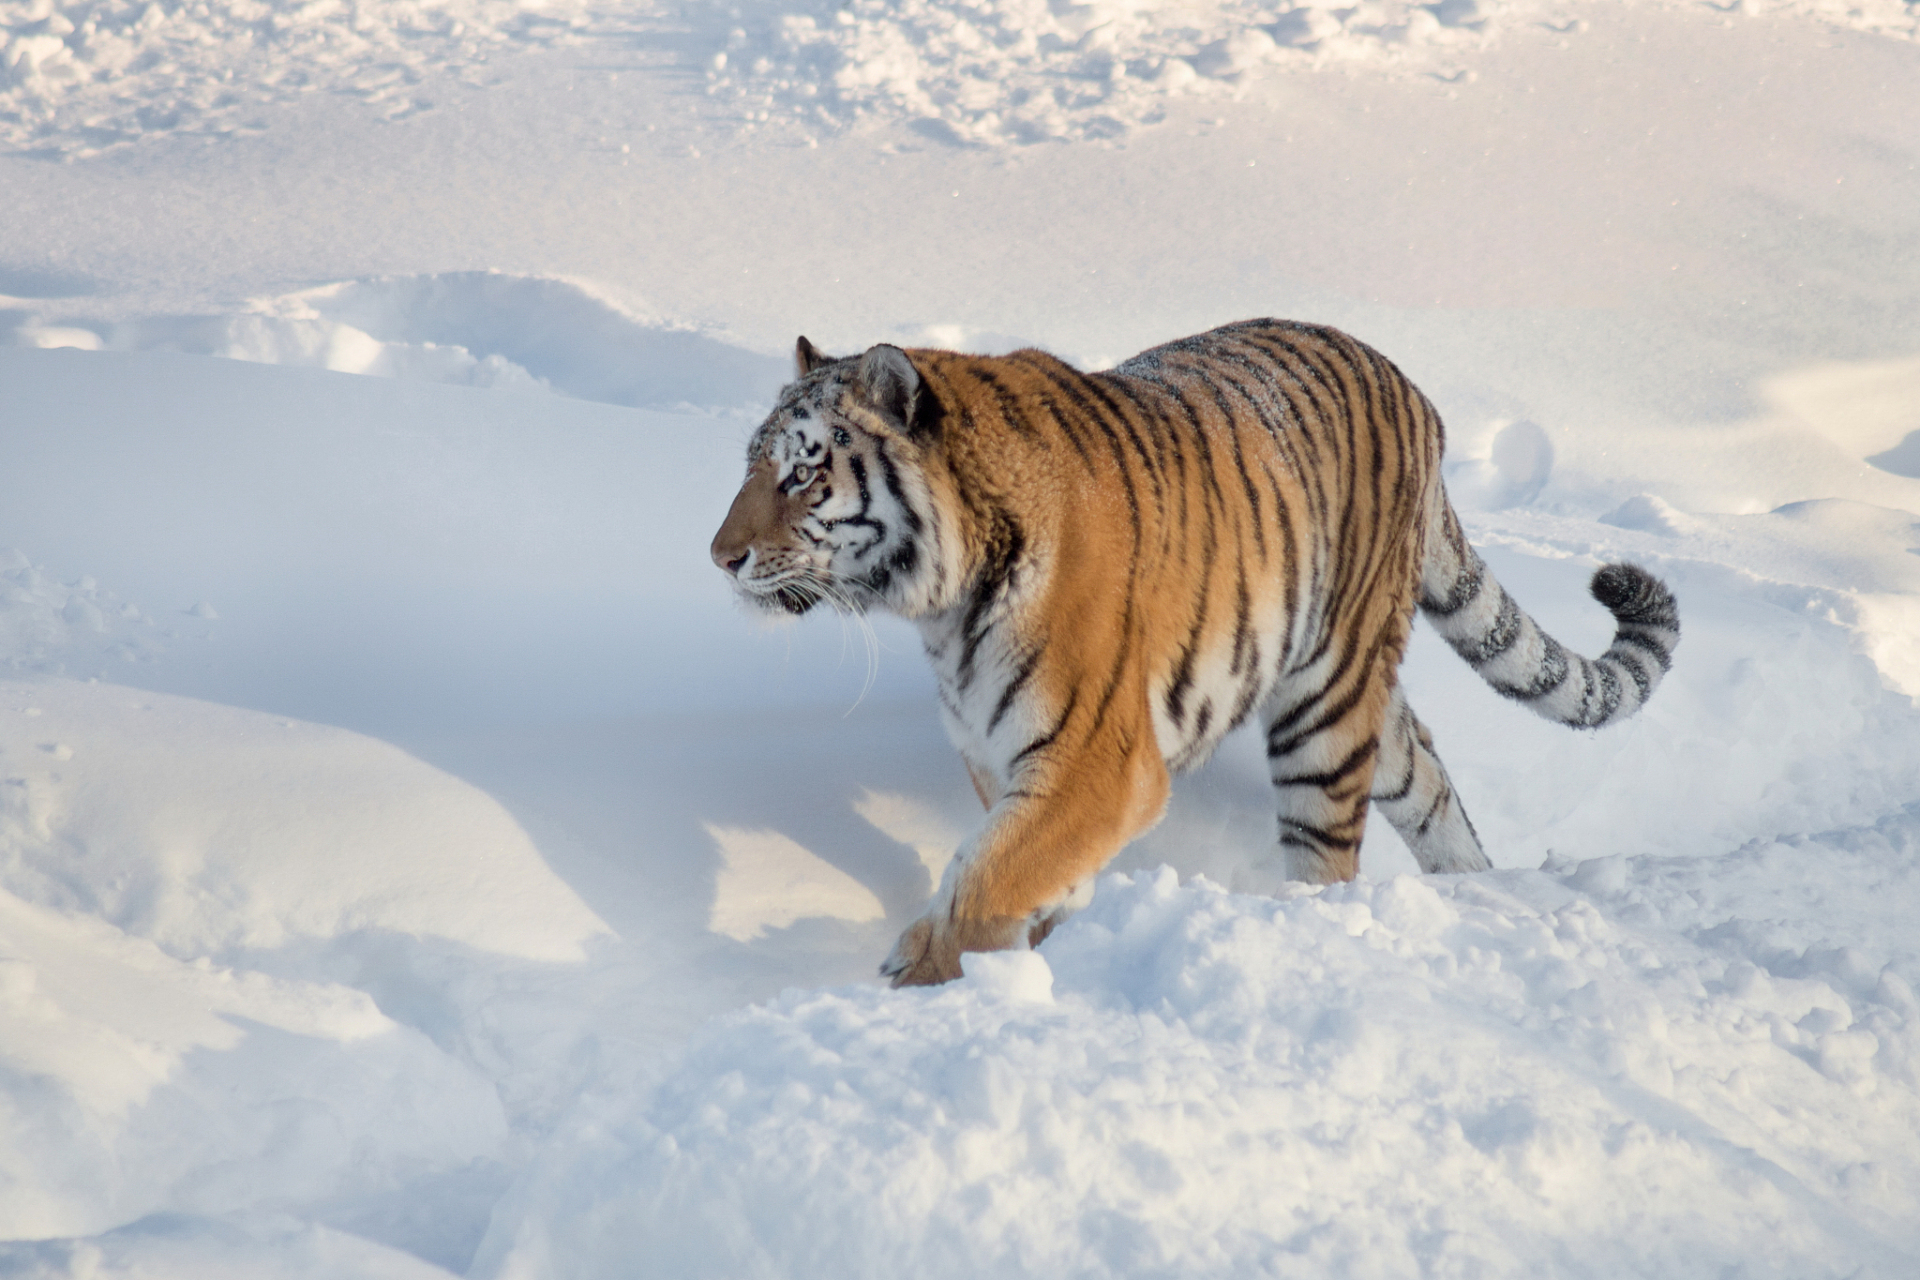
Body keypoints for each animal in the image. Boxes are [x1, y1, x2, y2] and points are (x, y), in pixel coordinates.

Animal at [710, 320, 1681, 990]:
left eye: (802, 474)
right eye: (752, 464)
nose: (720, 557)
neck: (942, 608)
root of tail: (1412, 390)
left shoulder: (1097, 760)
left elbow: (992, 868)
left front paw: (930, 972)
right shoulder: (997, 750)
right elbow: (1011, 857)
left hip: (1324, 707)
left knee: (1327, 849)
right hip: (1365, 704)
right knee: (1430, 779)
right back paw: (1470, 894)